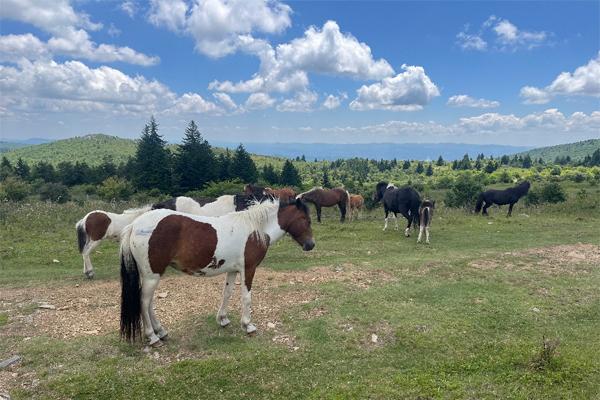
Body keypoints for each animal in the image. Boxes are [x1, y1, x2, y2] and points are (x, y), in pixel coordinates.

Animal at [117, 198, 314, 346]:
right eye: (305, 219)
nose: (311, 245)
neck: (255, 229)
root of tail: (134, 225)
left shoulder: (233, 270)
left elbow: (227, 293)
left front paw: (223, 319)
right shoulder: (248, 269)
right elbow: (246, 297)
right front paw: (248, 325)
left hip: (151, 275)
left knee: (148, 303)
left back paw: (161, 332)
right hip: (152, 275)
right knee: (144, 302)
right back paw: (153, 337)